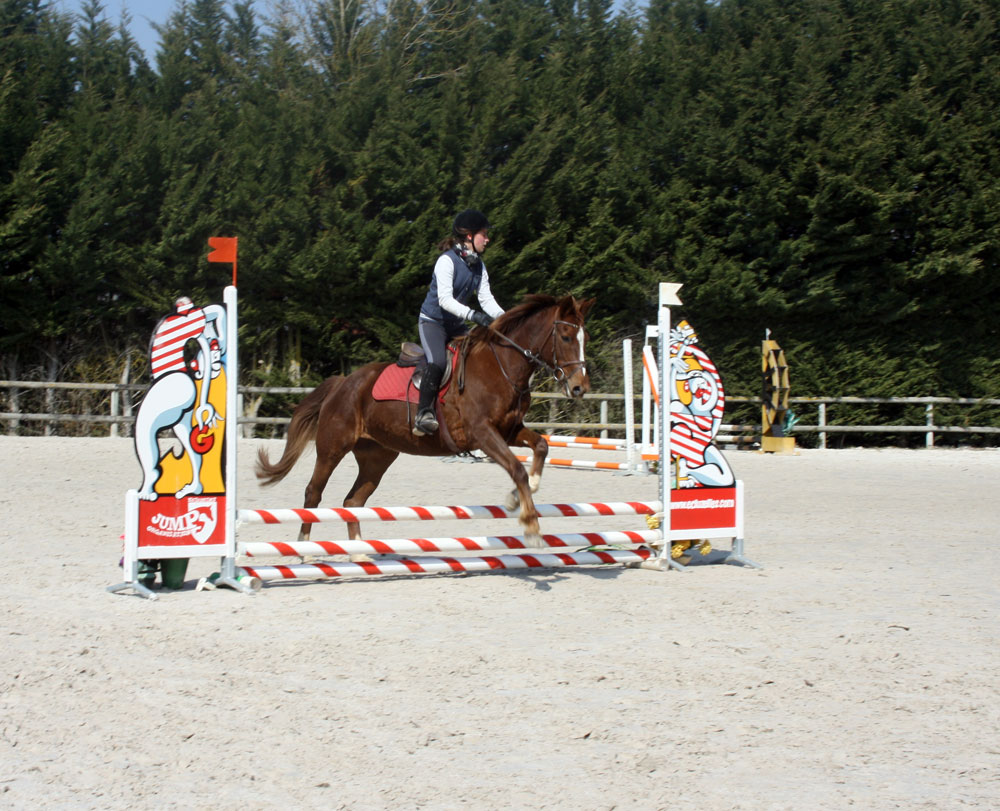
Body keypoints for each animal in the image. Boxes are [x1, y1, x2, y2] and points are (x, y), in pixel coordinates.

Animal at [256, 292, 592, 544]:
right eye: (565, 336)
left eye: (583, 337)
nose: (579, 387)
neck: (502, 367)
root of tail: (342, 382)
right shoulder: (483, 433)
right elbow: (517, 469)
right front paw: (531, 525)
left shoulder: (509, 430)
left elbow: (541, 448)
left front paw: (518, 497)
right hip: (333, 446)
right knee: (313, 493)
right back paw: (305, 548)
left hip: (377, 455)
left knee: (353, 502)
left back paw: (359, 553)